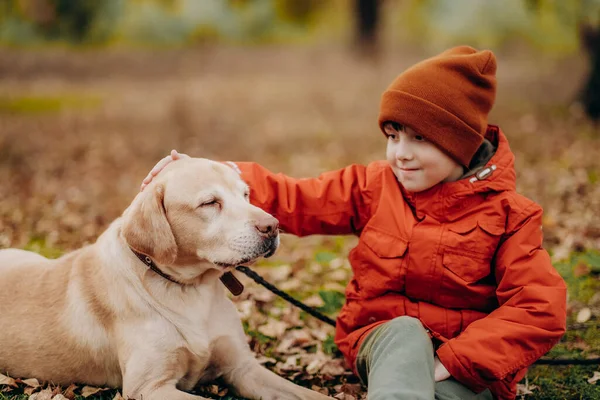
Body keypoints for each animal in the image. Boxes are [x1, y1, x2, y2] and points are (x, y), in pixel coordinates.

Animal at [0, 158, 332, 398]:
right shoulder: (149, 387)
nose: (273, 226)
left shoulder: (243, 368)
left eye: (246, 194)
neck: (191, 289)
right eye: (210, 202)